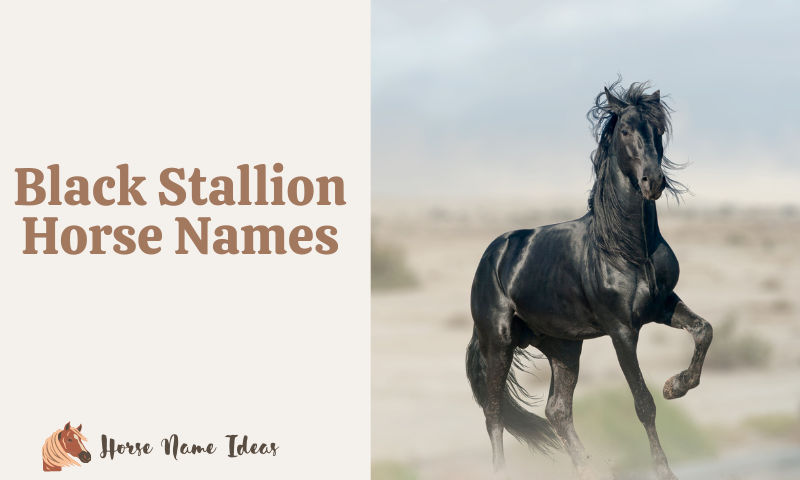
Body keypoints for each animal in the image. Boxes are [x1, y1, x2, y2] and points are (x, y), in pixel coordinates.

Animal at [466, 80, 712, 480]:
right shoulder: (622, 330)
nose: (653, 181)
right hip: (498, 342)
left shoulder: (663, 305)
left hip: (563, 346)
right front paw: (664, 469)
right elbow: (643, 403)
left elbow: (704, 330)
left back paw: (588, 469)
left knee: (557, 410)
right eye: (625, 130)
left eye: (658, 130)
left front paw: (675, 386)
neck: (627, 248)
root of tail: (492, 255)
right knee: (494, 414)